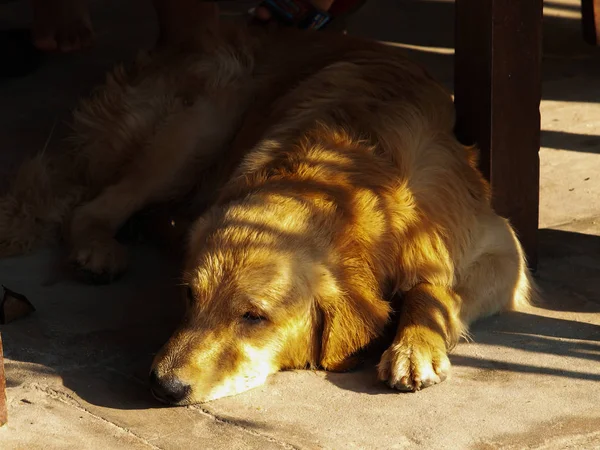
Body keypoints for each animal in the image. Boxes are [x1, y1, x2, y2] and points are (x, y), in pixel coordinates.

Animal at [0, 17, 536, 404]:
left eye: (254, 317)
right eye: (189, 296)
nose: (162, 386)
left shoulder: (502, 251)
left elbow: (434, 289)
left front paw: (414, 348)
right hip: (203, 119)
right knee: (89, 206)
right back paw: (100, 249)